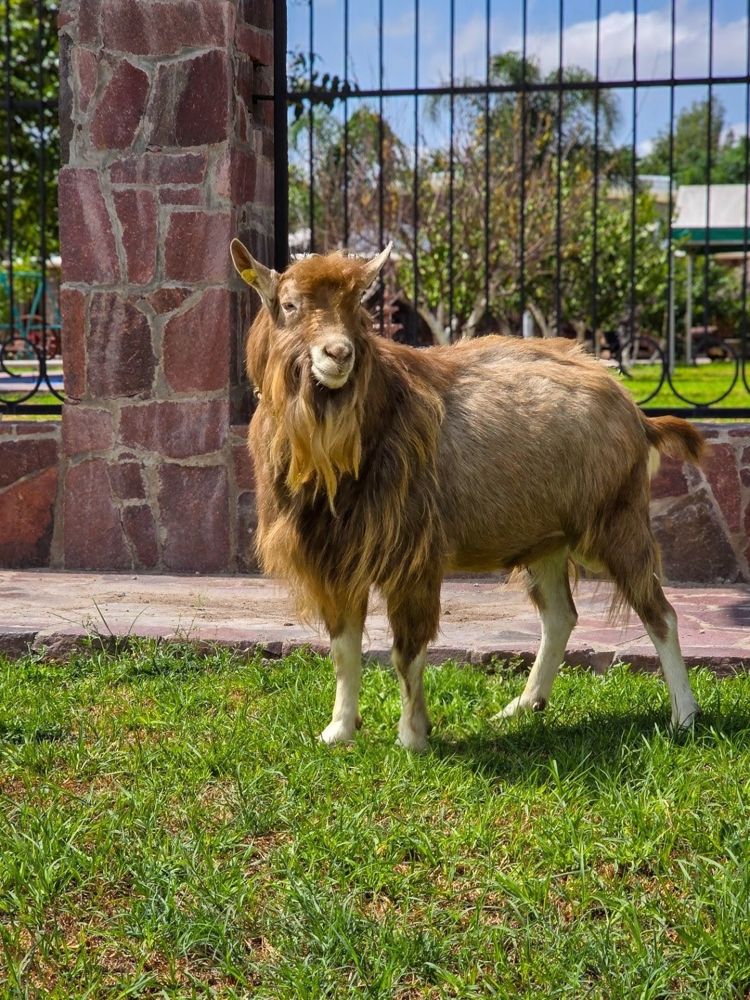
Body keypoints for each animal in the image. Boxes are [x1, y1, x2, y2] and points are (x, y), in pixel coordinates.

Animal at [230, 239, 705, 751]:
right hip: (547, 540)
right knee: (560, 616)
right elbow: (343, 647)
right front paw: (338, 731)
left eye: (358, 306)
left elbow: (407, 651)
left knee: (660, 613)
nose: (337, 354)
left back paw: (684, 717)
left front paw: (413, 737)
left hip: (616, 522)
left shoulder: (413, 558)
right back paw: (521, 708)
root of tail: (636, 412)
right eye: (288, 305)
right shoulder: (336, 560)